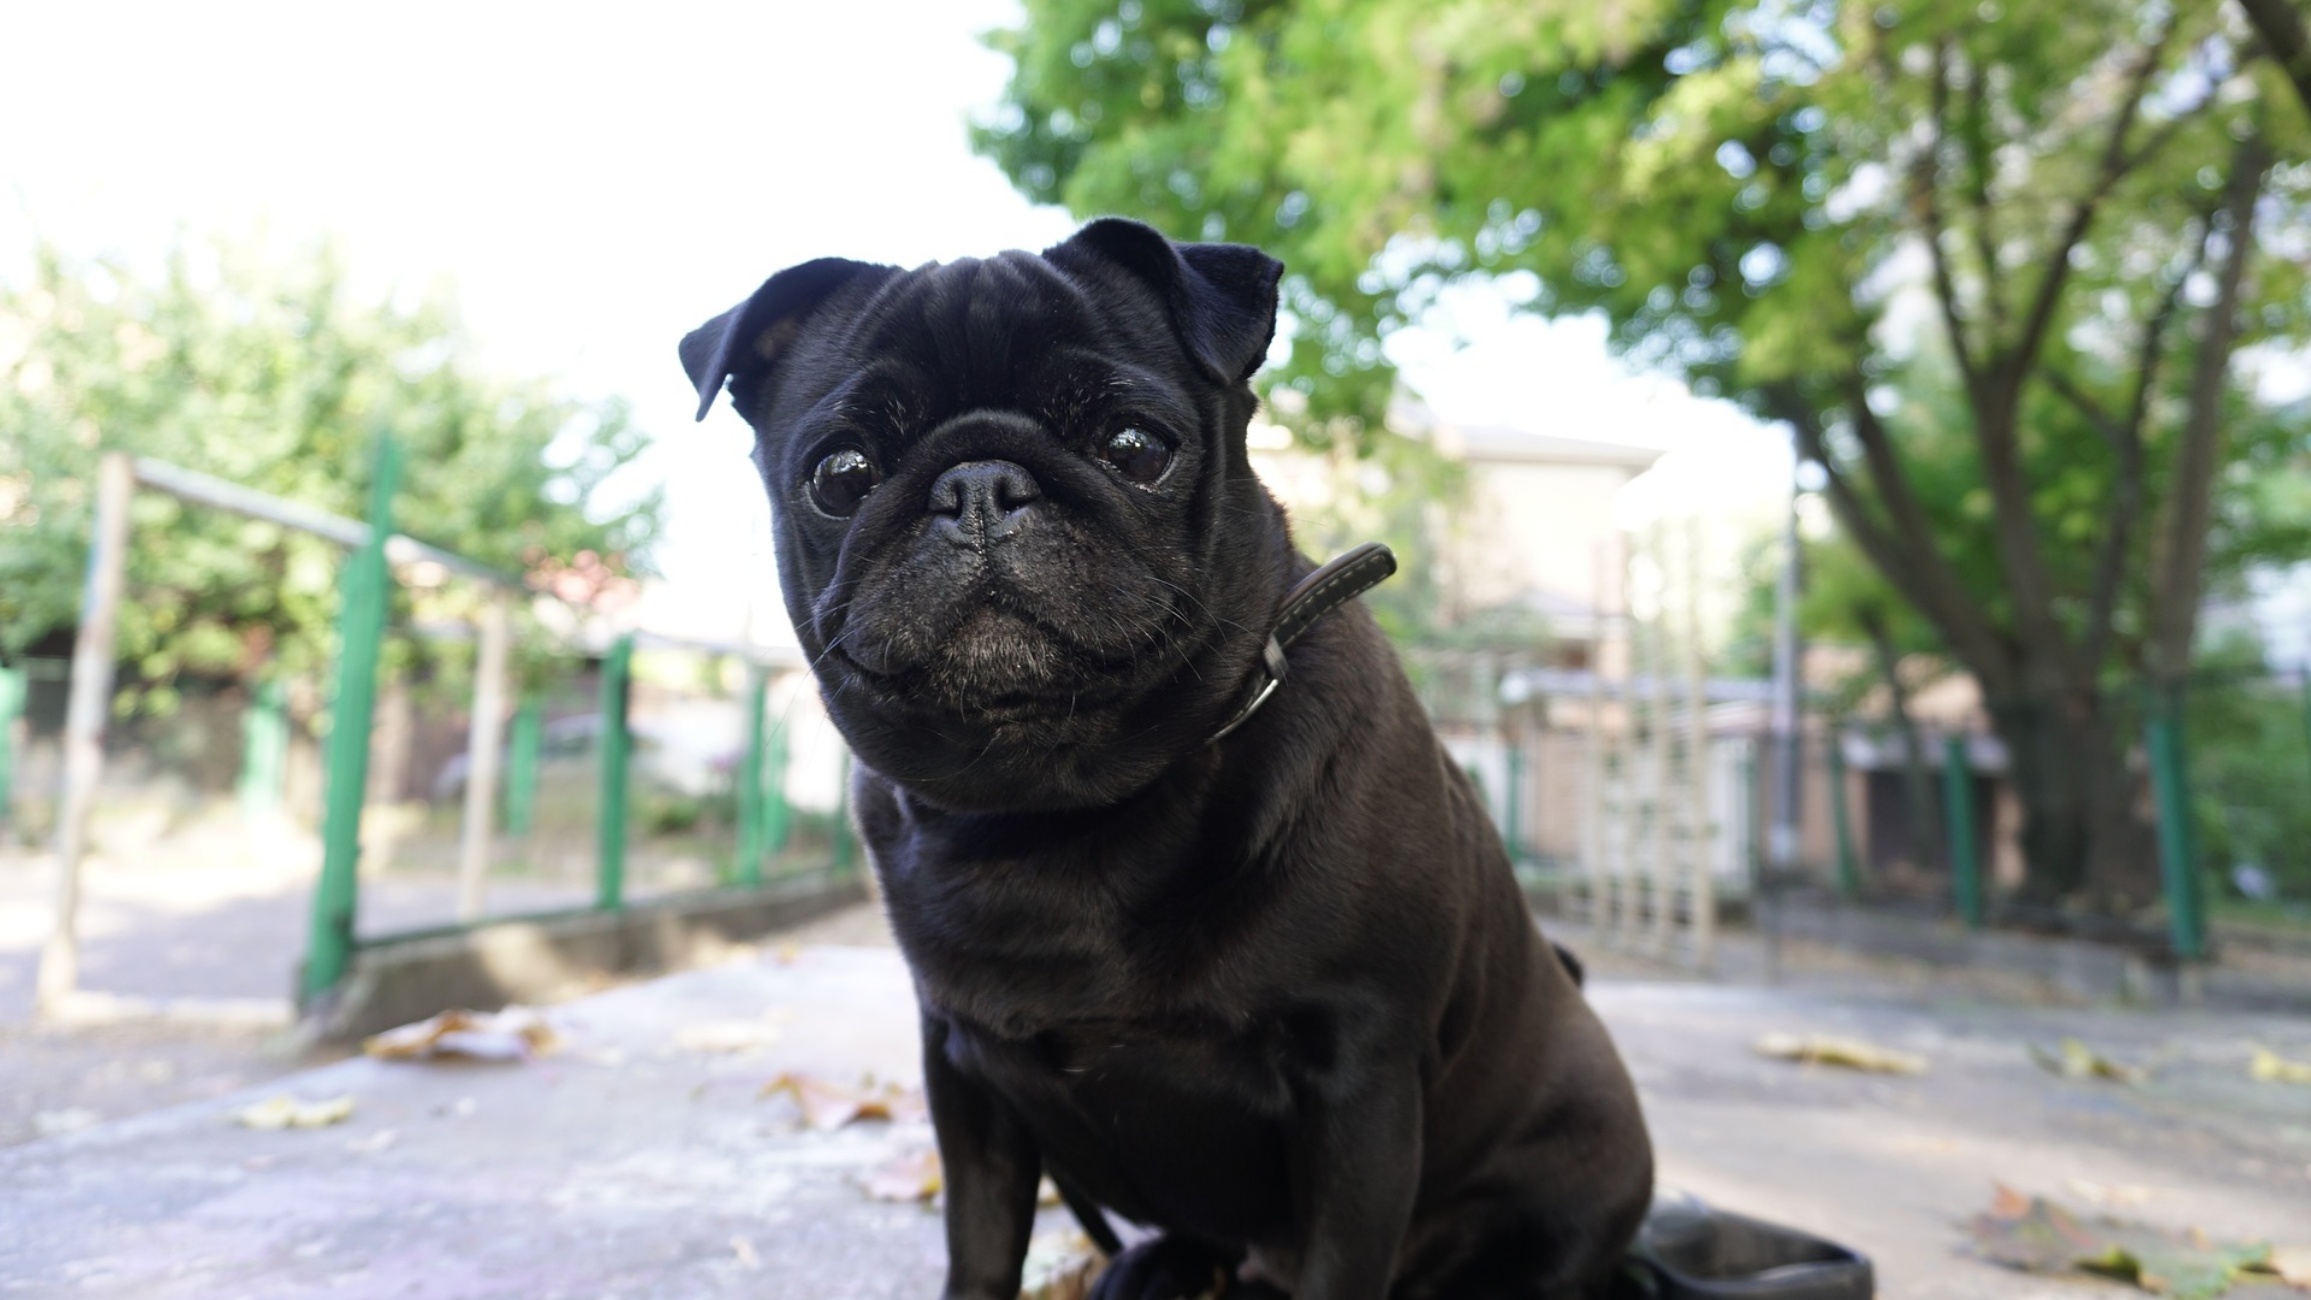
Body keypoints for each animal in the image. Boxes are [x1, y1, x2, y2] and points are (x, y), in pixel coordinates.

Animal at [674, 218, 1654, 1293]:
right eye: (841, 473)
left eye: (1136, 448)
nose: (977, 486)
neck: (1051, 805)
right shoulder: (966, 1079)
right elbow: (980, 1252)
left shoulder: (1360, 1085)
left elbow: (1338, 1271)